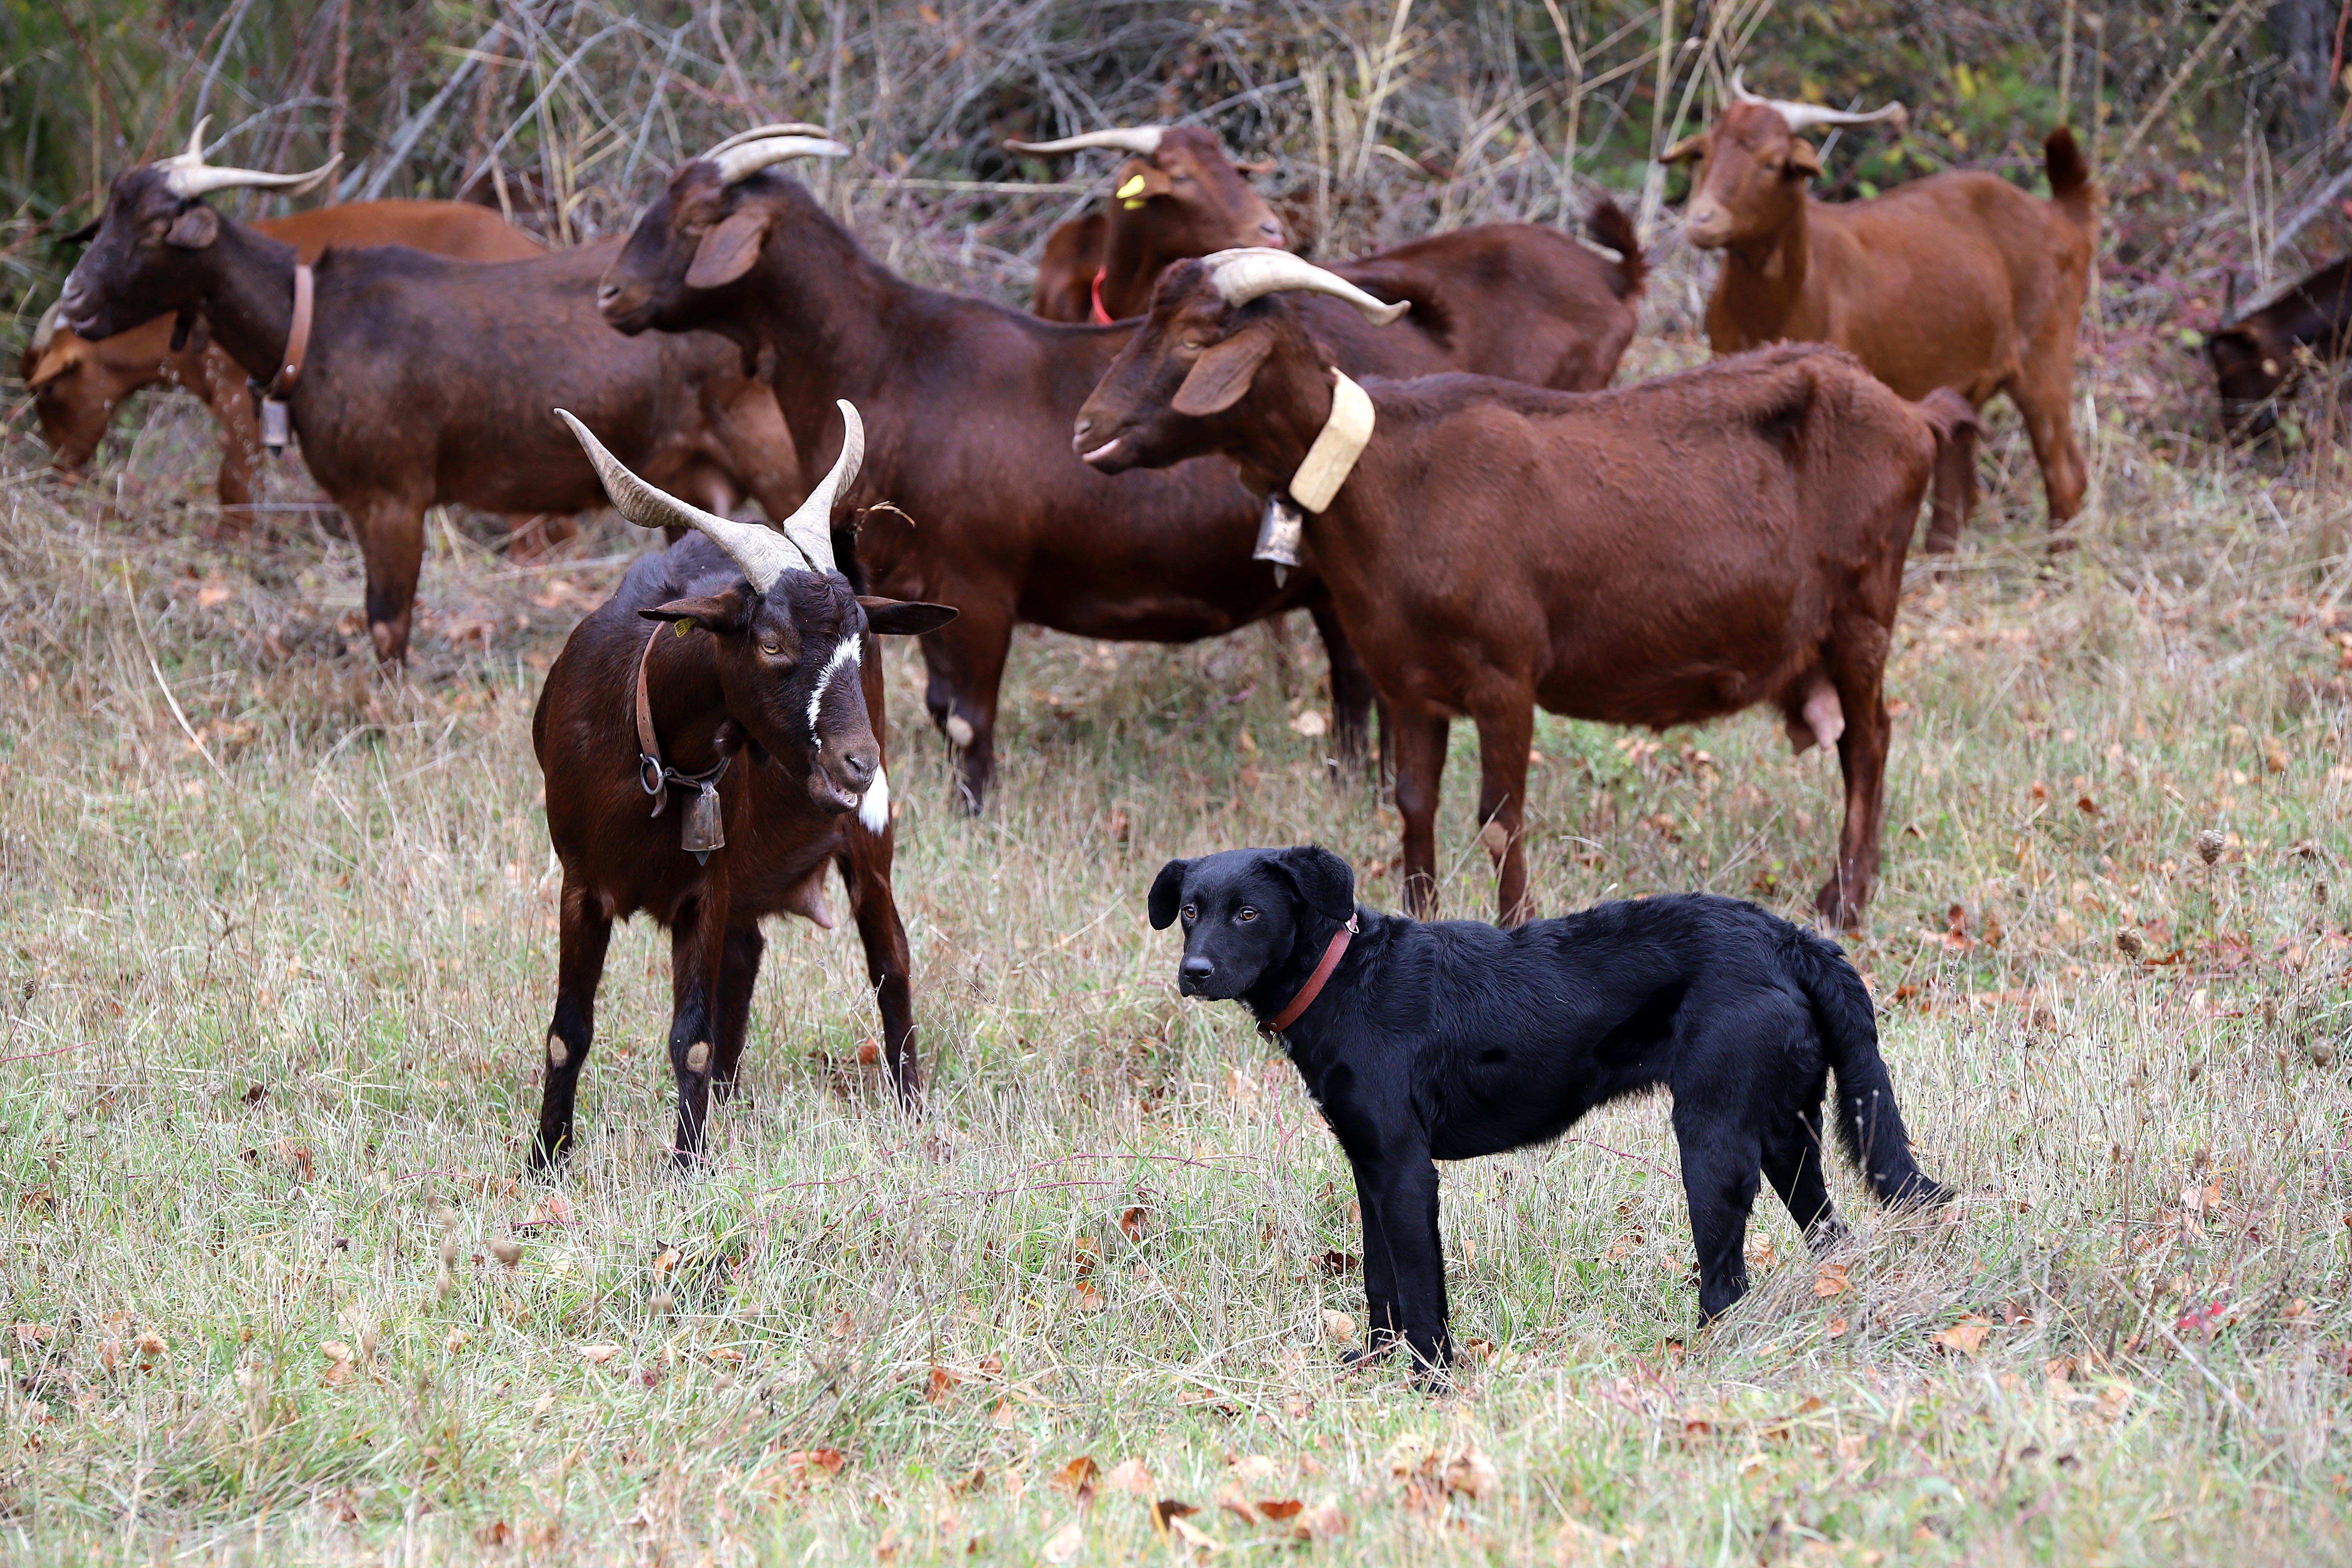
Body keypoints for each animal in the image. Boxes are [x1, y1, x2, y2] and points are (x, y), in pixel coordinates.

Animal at [536, 400, 955, 1170]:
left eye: (861, 640)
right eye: (772, 643)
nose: (859, 762)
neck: (650, 760)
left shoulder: (705, 890)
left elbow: (691, 1040)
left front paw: (687, 1169)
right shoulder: (581, 886)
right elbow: (567, 1033)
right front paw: (545, 1160)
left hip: (869, 839)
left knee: (891, 959)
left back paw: (911, 1107)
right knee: (749, 951)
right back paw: (731, 1102)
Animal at [1077, 251, 1975, 926]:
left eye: (1196, 337)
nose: (1088, 427)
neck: (1388, 477)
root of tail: (1915, 416)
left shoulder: (1505, 676)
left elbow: (1500, 821)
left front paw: (1515, 928)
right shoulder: (1408, 683)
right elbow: (1414, 801)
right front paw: (1421, 915)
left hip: (1863, 608)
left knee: (1870, 743)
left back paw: (1845, 903)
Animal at [1152, 846, 1947, 1373]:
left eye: (1248, 913)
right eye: (1190, 911)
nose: (1193, 973)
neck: (1344, 978)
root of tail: (1791, 939)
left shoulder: (1407, 1172)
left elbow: (1421, 1289)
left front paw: (1432, 1383)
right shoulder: (1369, 1165)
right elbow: (1381, 1283)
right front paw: (1374, 1365)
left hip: (1713, 1143)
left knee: (1727, 1282)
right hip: (1786, 1136)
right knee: (1830, 1235)